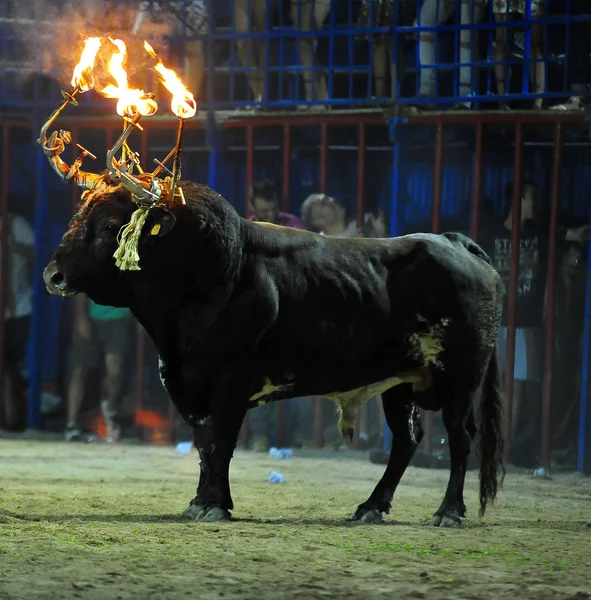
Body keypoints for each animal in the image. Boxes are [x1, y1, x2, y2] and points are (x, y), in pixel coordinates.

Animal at [42, 178, 504, 524]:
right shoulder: (187, 382)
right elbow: (204, 444)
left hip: (461, 378)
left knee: (460, 438)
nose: (53, 274)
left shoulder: (230, 380)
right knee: (406, 440)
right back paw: (371, 507)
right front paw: (202, 501)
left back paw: (447, 511)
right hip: (399, 384)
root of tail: (455, 243)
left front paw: (214, 505)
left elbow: (221, 441)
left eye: (108, 226)